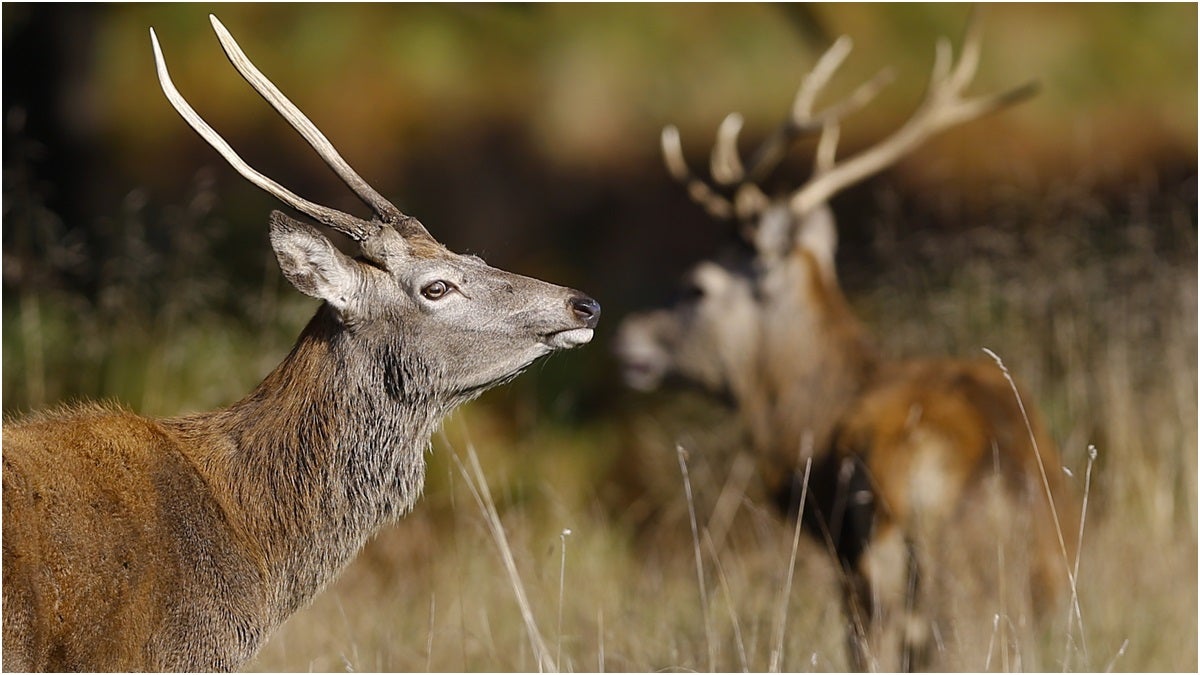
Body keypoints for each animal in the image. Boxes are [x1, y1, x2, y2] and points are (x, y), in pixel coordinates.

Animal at [619, 14, 1080, 667]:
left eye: (697, 285)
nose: (627, 335)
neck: (809, 414)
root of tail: (998, 475)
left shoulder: (839, 542)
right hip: (1046, 577)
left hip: (889, 558)